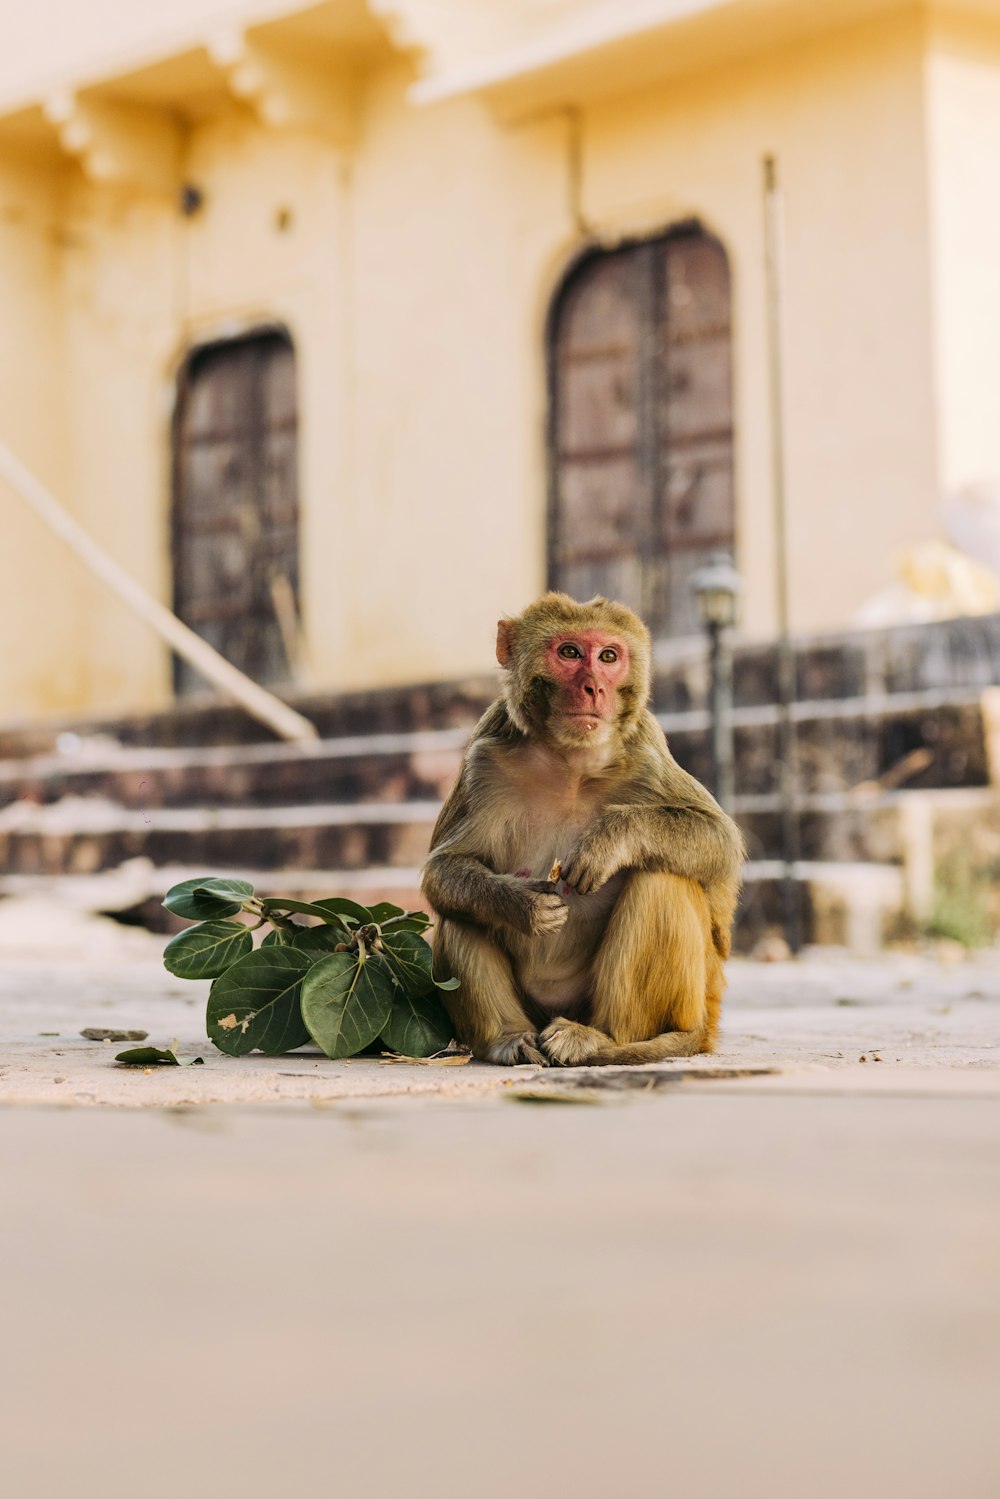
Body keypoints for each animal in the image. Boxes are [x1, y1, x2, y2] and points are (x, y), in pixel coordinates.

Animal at [419, 587, 743, 1067]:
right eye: (570, 653)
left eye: (609, 656)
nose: (595, 687)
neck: (570, 761)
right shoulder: (484, 759)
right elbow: (445, 867)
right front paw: (521, 904)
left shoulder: (646, 752)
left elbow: (720, 841)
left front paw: (609, 841)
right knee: (457, 910)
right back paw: (509, 1039)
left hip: (692, 1001)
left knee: (661, 879)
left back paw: (607, 1039)